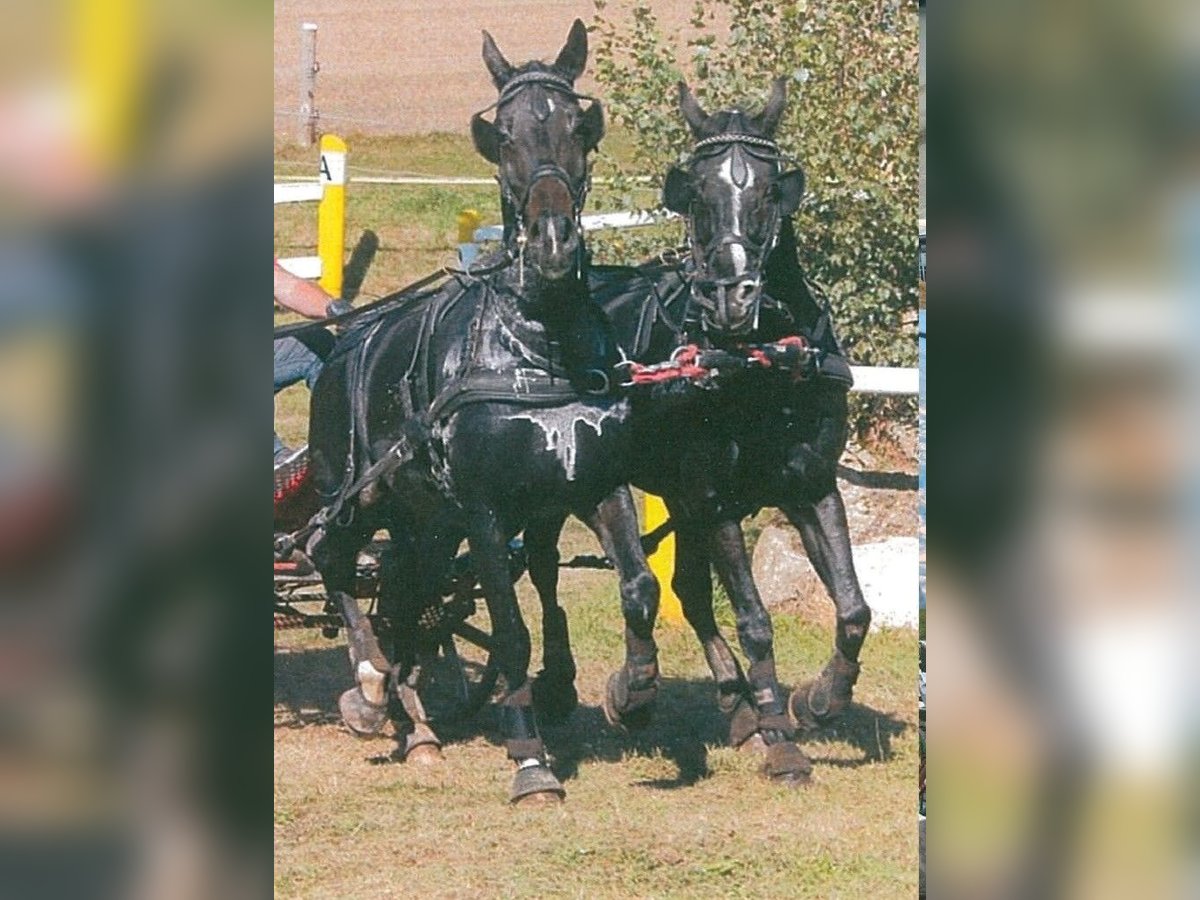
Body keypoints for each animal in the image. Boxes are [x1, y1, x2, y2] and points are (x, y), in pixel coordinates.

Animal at [300, 21, 657, 806]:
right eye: (506, 136)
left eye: (579, 128)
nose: (552, 242)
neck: (537, 341)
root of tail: (345, 342)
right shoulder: (487, 512)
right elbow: (513, 628)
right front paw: (530, 758)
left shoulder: (595, 483)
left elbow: (639, 587)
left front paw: (632, 691)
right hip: (353, 493)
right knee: (334, 561)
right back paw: (370, 687)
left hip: (424, 519)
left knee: (408, 590)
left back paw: (417, 725)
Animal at [525, 77, 873, 782]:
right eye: (697, 193)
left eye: (768, 191)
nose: (731, 298)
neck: (762, 361)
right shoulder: (716, 502)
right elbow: (755, 619)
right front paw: (782, 737)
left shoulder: (811, 486)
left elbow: (853, 608)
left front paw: (818, 700)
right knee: (551, 569)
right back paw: (574, 686)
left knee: (684, 590)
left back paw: (735, 708)